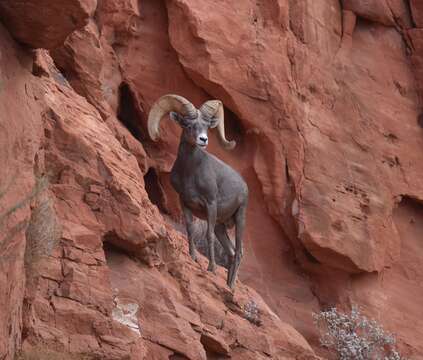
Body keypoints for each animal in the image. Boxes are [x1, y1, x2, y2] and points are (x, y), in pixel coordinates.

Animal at [148, 94, 248, 288]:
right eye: (188, 125)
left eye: (207, 126)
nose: (203, 140)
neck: (190, 173)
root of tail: (243, 185)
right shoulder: (184, 202)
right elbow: (190, 229)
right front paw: (193, 257)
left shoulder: (210, 205)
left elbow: (207, 235)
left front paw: (211, 268)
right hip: (221, 226)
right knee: (231, 253)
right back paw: (227, 284)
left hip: (239, 218)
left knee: (238, 252)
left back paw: (232, 287)